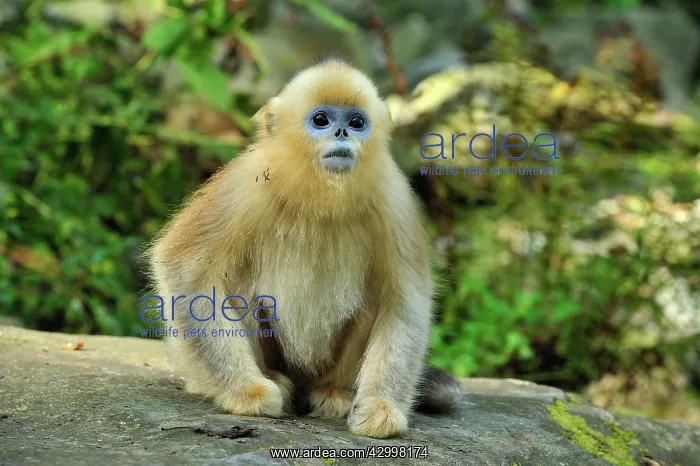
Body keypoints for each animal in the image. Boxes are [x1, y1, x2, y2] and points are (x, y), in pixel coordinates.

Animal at [146, 56, 461, 439]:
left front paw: (381, 408)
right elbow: (184, 270)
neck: (319, 198)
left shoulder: (394, 199)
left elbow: (406, 300)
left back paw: (333, 391)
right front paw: (247, 393)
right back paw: (270, 379)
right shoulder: (244, 184)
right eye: (321, 120)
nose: (341, 133)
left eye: (356, 122)